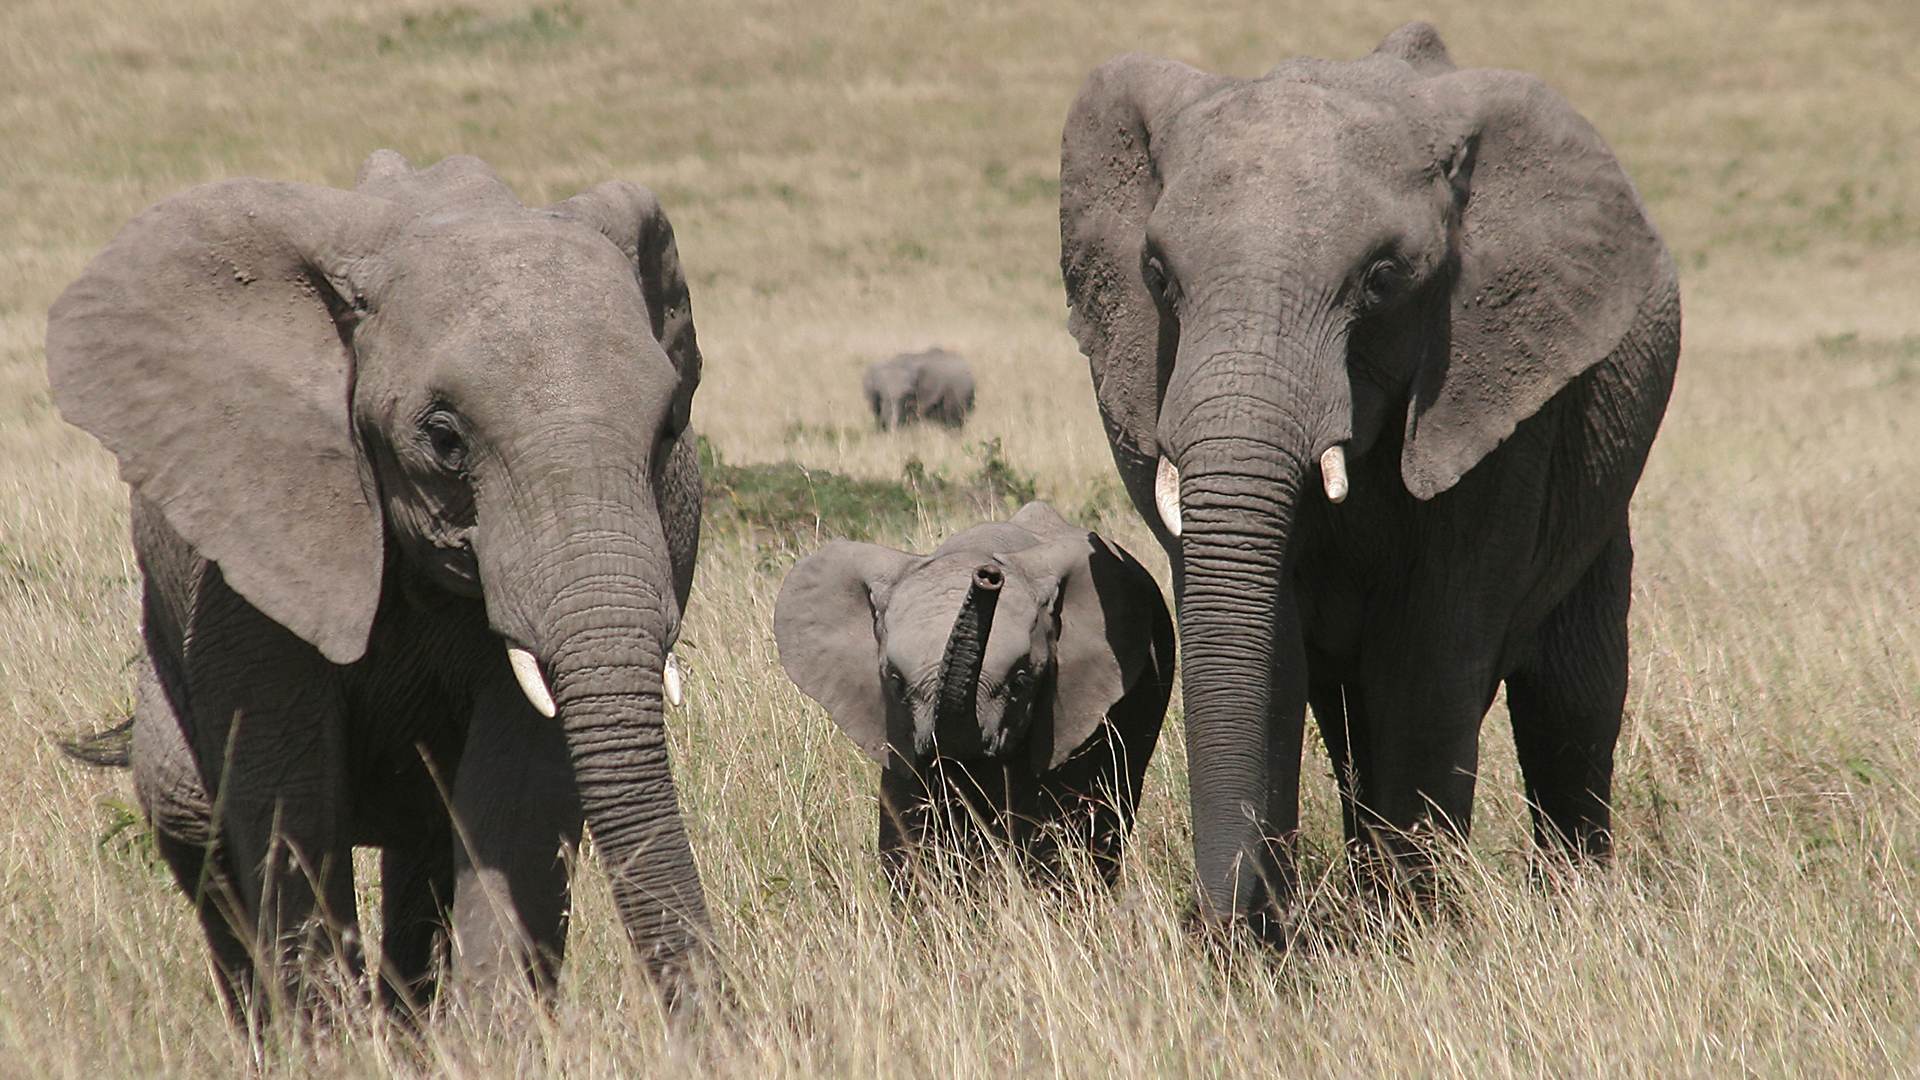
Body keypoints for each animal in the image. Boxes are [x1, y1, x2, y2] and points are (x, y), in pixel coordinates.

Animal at [46, 151, 721, 1014]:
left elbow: (520, 790)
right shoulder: (251, 540)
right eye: (444, 438)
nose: (724, 1021)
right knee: (193, 818)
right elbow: (288, 796)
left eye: (669, 427)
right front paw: (328, 1035)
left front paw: (495, 1035)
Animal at [1067, 23, 1681, 933]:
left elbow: (1430, 656)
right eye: (1156, 274)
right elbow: (1272, 654)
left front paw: (1413, 935)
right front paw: (1286, 937)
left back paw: (1571, 901)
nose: (1219, 921)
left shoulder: (1499, 396)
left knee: (1571, 694)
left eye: (1383, 279)